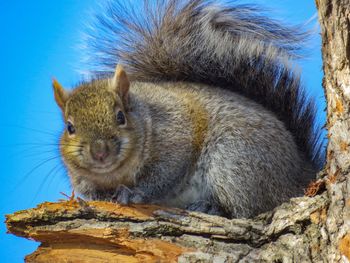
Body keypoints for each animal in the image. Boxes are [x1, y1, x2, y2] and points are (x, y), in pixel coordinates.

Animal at [53, 0, 324, 219]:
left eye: (120, 116)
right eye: (70, 127)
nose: (100, 152)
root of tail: (302, 172)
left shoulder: (174, 137)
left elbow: (164, 174)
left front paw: (135, 192)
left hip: (236, 160)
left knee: (250, 208)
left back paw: (212, 207)